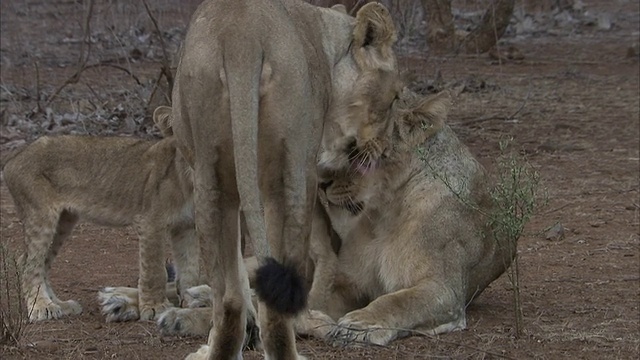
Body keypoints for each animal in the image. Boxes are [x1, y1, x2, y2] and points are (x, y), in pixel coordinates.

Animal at [1, 105, 198, 322]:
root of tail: (17, 154)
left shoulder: (186, 227)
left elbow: (190, 270)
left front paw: (193, 304)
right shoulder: (150, 222)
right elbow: (155, 270)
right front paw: (155, 307)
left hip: (64, 220)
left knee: (43, 262)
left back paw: (61, 305)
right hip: (40, 215)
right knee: (29, 262)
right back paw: (41, 307)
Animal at [170, 1, 400, 358]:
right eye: (393, 99)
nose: (384, 149)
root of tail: (240, 38)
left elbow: (237, 270)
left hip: (211, 180)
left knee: (230, 299)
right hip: (291, 178)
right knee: (277, 301)